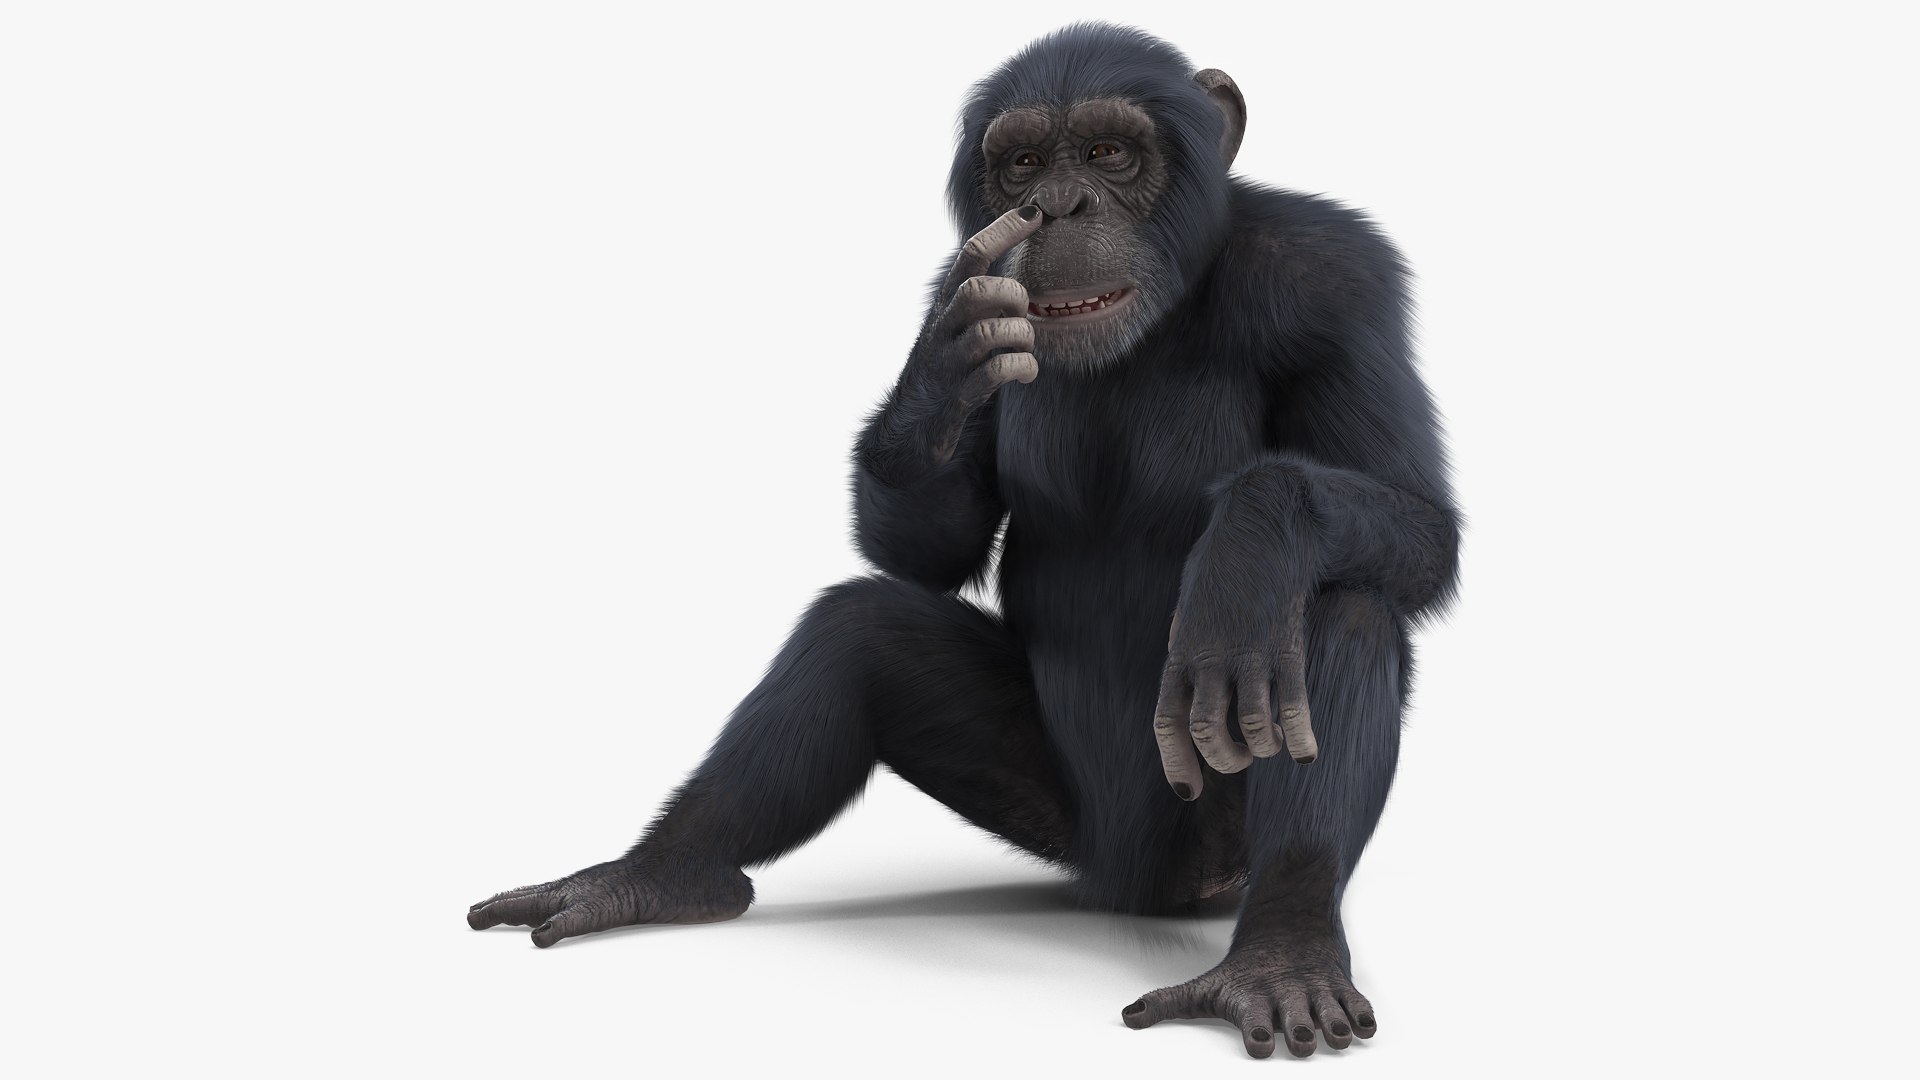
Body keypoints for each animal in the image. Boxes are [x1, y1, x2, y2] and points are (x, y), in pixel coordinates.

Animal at [466, 22, 1460, 1060]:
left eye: (1106, 152)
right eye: (1023, 164)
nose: (1057, 205)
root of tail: (1133, 888)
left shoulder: (1337, 278)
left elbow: (1419, 518)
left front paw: (1242, 559)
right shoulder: (966, 275)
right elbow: (922, 556)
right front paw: (941, 376)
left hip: (1208, 847)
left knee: (1341, 609)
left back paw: (1282, 952)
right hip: (1059, 818)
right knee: (857, 628)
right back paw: (653, 875)